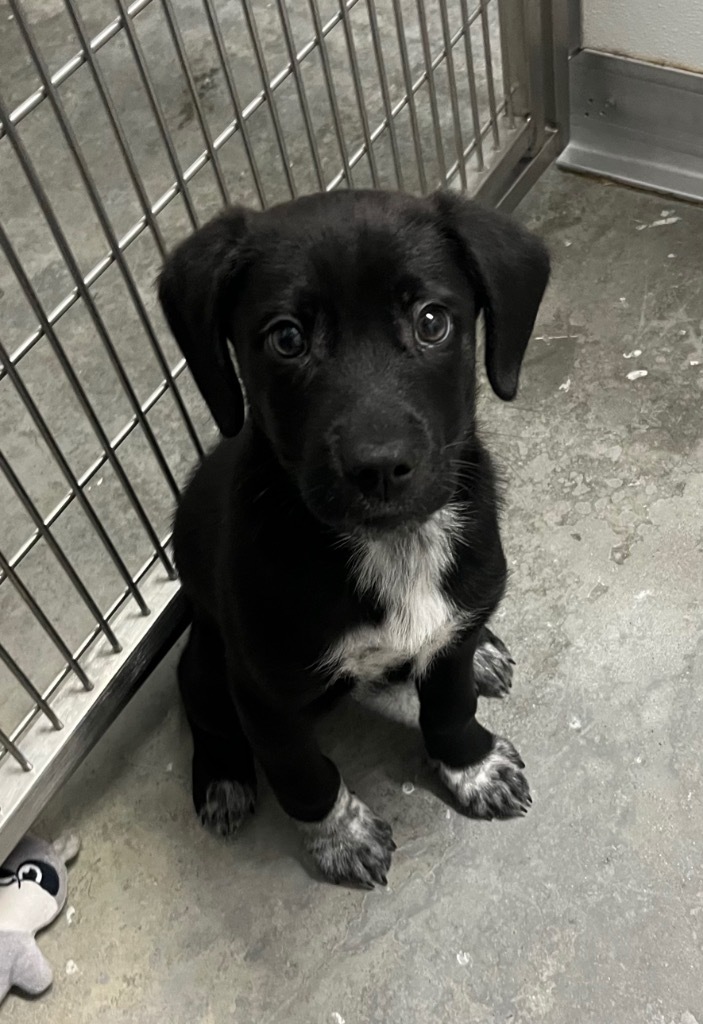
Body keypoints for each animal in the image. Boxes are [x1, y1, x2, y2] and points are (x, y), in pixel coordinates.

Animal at [159, 190, 548, 888]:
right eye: (286, 338)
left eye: (431, 321)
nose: (380, 467)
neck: (392, 547)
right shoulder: (264, 696)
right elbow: (303, 774)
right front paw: (339, 836)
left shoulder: (450, 633)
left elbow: (450, 706)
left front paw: (472, 767)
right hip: (210, 658)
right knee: (197, 698)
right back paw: (224, 779)